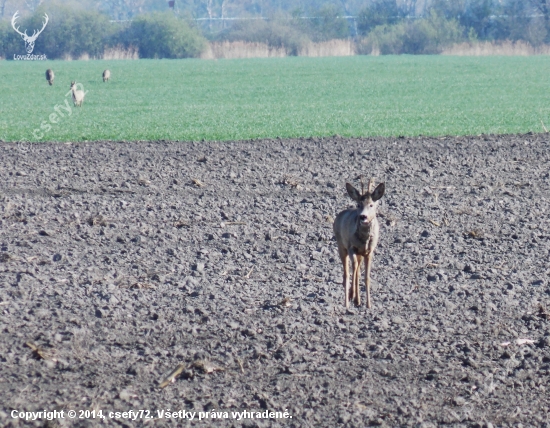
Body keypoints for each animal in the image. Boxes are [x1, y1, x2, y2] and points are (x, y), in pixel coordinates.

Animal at [334, 179, 386, 310]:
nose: (363, 216)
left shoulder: (369, 252)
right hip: (341, 246)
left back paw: (357, 299)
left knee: (357, 270)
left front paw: (368, 304)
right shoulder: (351, 247)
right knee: (347, 273)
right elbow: (352, 271)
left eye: (371, 205)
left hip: (360, 254)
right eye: (358, 205)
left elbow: (366, 277)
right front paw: (349, 300)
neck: (364, 240)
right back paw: (350, 299)